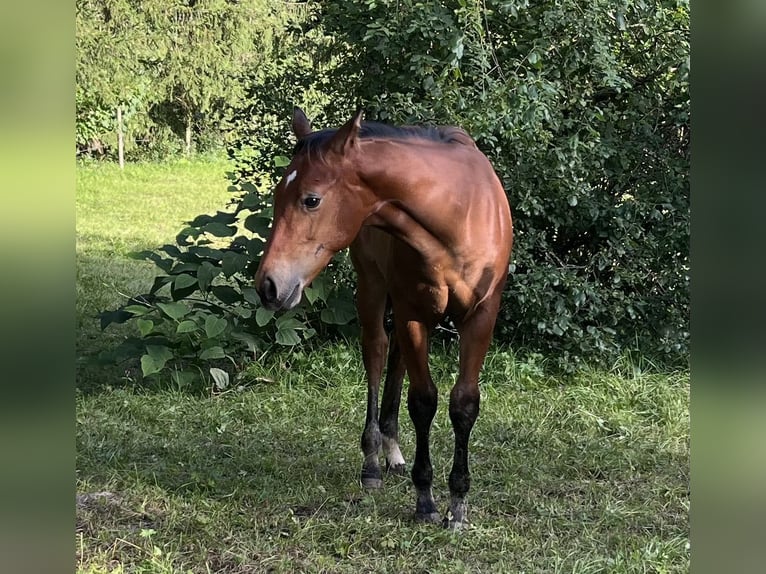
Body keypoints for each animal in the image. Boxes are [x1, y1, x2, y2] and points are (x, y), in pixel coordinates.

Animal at [255, 108, 512, 532]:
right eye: (277, 196)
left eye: (311, 200)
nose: (268, 286)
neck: (458, 213)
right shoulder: (412, 313)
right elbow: (423, 401)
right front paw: (425, 500)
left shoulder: (481, 317)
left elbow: (463, 404)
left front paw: (458, 503)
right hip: (372, 286)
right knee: (376, 352)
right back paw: (374, 460)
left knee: (395, 359)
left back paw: (392, 451)